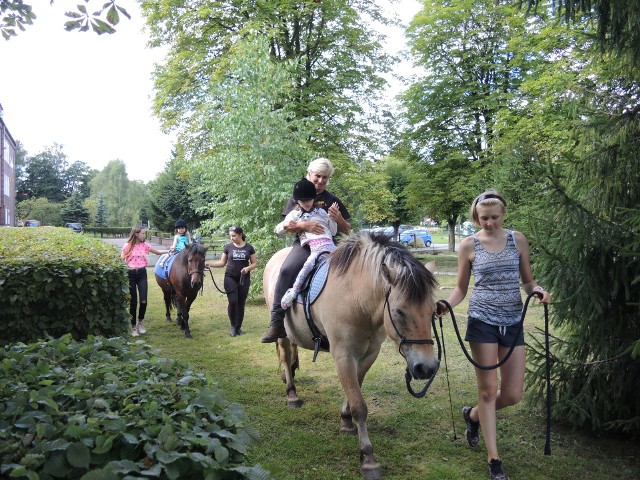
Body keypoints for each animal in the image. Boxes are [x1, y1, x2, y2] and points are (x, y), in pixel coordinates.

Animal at [262, 231, 438, 478]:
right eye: (399, 312)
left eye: (433, 311)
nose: (427, 367)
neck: (357, 299)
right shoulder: (343, 355)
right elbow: (359, 405)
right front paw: (368, 458)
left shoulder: (368, 355)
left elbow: (354, 389)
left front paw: (345, 422)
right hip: (281, 332)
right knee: (285, 356)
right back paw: (292, 394)